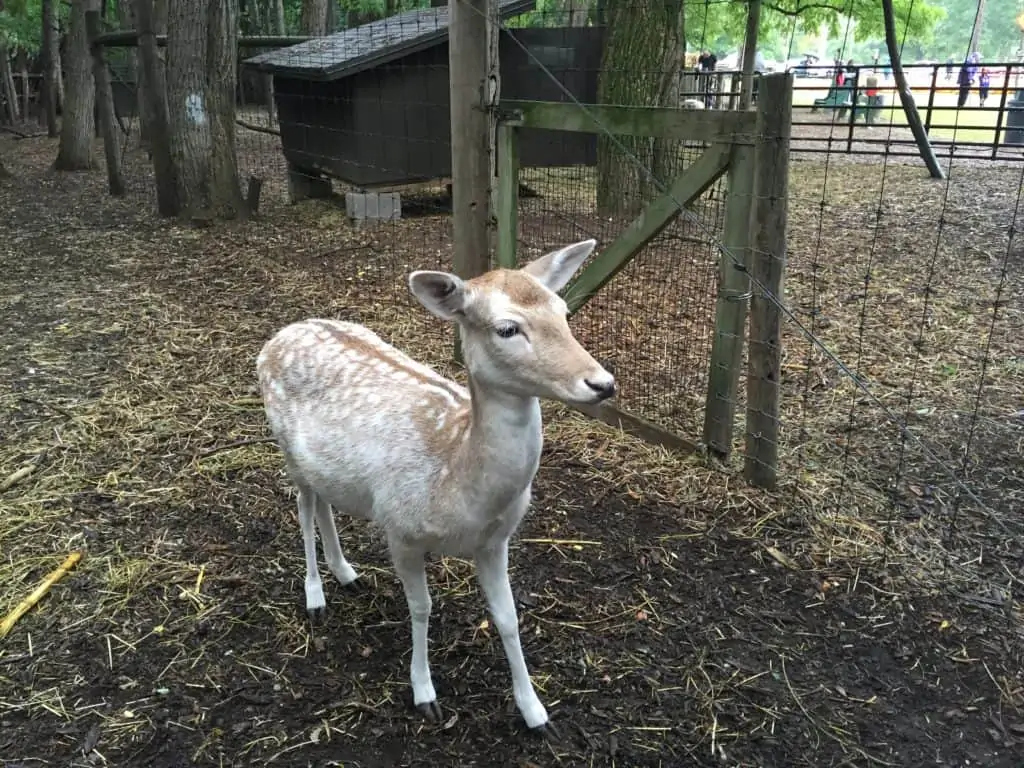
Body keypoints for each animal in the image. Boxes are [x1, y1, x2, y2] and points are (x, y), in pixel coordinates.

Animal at [256, 239, 614, 741]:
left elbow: (508, 616)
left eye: (563, 312)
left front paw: (535, 712)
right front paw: (424, 693)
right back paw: (315, 597)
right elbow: (421, 607)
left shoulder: (495, 541)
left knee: (324, 503)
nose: (603, 383)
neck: (458, 486)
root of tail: (278, 336)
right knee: (304, 508)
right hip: (285, 448)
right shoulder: (399, 528)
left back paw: (346, 573)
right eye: (507, 328)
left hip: (321, 465)